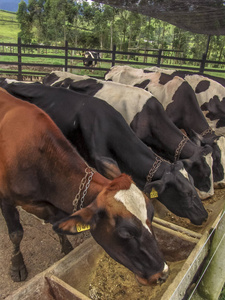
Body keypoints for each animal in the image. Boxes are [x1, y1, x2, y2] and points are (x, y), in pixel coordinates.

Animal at [0, 88, 169, 284]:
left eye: (152, 215)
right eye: (126, 233)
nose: (163, 273)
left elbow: (56, 225)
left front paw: (66, 248)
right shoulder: (6, 200)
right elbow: (16, 234)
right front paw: (17, 267)